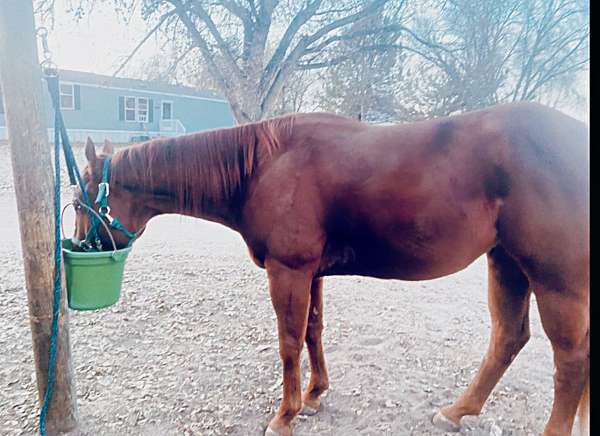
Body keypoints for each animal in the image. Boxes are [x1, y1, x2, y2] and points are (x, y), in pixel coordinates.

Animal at [76, 101, 592, 436]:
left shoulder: (288, 270)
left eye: (81, 201)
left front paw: (284, 415)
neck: (265, 166)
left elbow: (288, 341)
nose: (84, 245)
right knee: (508, 338)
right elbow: (313, 330)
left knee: (570, 360)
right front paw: (313, 396)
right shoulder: (312, 272)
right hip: (506, 263)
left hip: (556, 281)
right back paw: (456, 411)